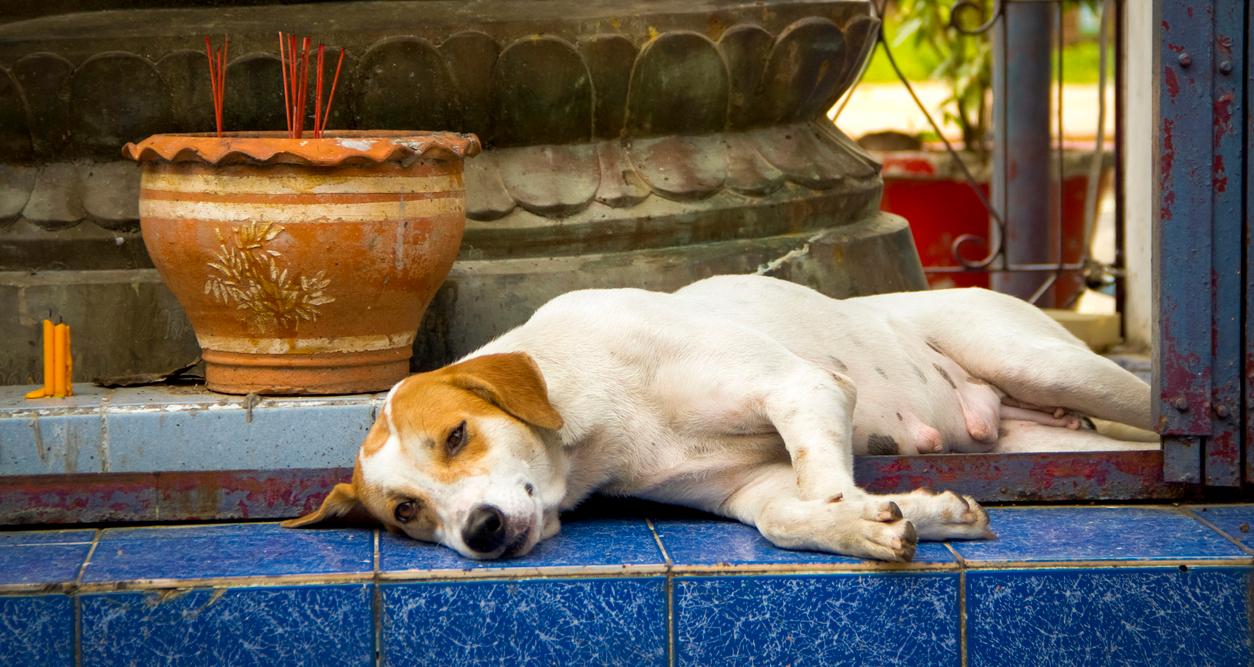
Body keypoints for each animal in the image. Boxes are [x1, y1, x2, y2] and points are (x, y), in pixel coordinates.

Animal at [288, 275, 1148, 561]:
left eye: (458, 434)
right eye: (406, 511)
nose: (481, 531)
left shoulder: (799, 385)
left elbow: (823, 482)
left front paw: (865, 513)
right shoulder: (746, 488)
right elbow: (786, 517)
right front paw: (909, 515)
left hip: (1044, 361)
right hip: (1036, 433)